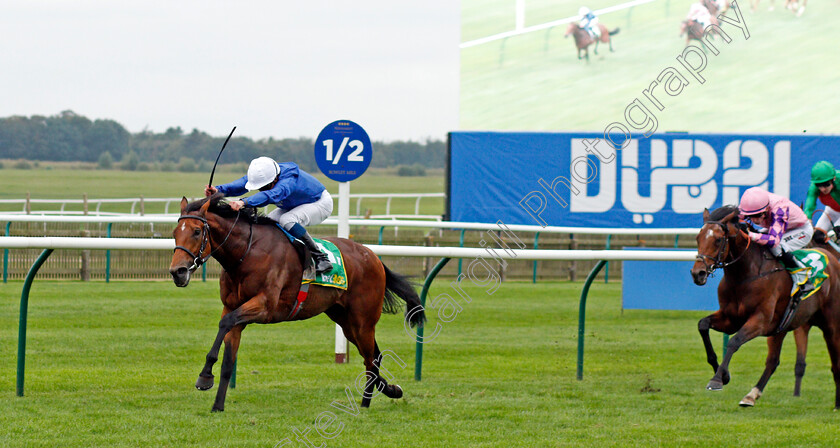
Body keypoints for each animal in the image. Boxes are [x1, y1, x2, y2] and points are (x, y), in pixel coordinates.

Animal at [169, 194, 426, 412]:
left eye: (196, 231)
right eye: (174, 232)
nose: (177, 272)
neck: (247, 252)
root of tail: (373, 256)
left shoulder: (264, 306)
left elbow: (225, 324)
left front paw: (204, 376)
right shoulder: (233, 308)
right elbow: (228, 360)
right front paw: (217, 405)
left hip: (363, 321)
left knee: (371, 359)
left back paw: (365, 404)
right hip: (345, 321)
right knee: (373, 356)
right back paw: (388, 391)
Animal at [688, 206, 840, 410]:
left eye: (718, 239)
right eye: (698, 238)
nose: (698, 273)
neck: (744, 275)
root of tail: (833, 258)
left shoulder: (760, 321)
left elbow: (734, 341)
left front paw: (718, 379)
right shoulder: (731, 319)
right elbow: (703, 325)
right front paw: (722, 373)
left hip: (831, 326)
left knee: (836, 363)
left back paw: (837, 404)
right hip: (783, 327)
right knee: (772, 361)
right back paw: (751, 395)